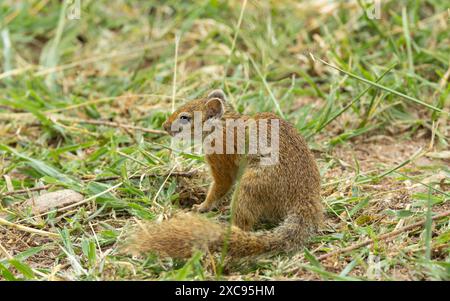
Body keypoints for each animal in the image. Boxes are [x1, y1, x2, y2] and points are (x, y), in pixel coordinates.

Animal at [125, 88, 324, 258]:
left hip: (250, 186)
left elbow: (221, 185)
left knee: (244, 222)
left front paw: (202, 206)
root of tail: (305, 199)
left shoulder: (219, 158)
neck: (224, 123)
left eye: (185, 117)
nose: (164, 125)